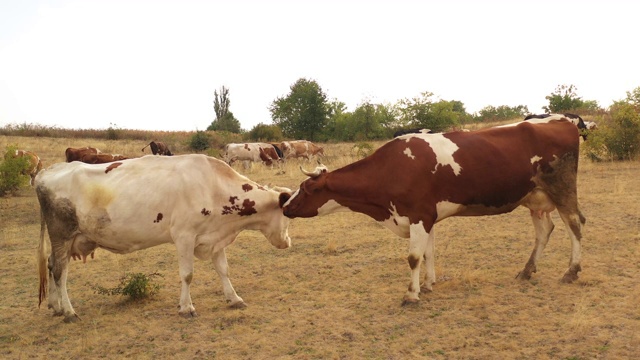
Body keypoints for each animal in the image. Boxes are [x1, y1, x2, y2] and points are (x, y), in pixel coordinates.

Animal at [36, 153, 292, 322]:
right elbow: (187, 275)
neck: (212, 185)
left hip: (66, 241)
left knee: (50, 265)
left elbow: (223, 269)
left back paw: (56, 306)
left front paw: (234, 298)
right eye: (287, 214)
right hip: (62, 235)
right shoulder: (184, 236)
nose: (287, 242)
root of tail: (46, 172)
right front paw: (186, 307)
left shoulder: (215, 237)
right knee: (59, 271)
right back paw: (69, 312)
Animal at [282, 119, 588, 306]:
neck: (392, 169)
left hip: (562, 190)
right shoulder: (426, 218)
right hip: (535, 198)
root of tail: (563, 122)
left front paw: (411, 294)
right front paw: (428, 284)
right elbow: (428, 253)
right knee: (544, 231)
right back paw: (526, 271)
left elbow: (414, 257)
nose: (284, 205)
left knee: (574, 225)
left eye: (306, 188)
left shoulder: (418, 215)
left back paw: (571, 271)